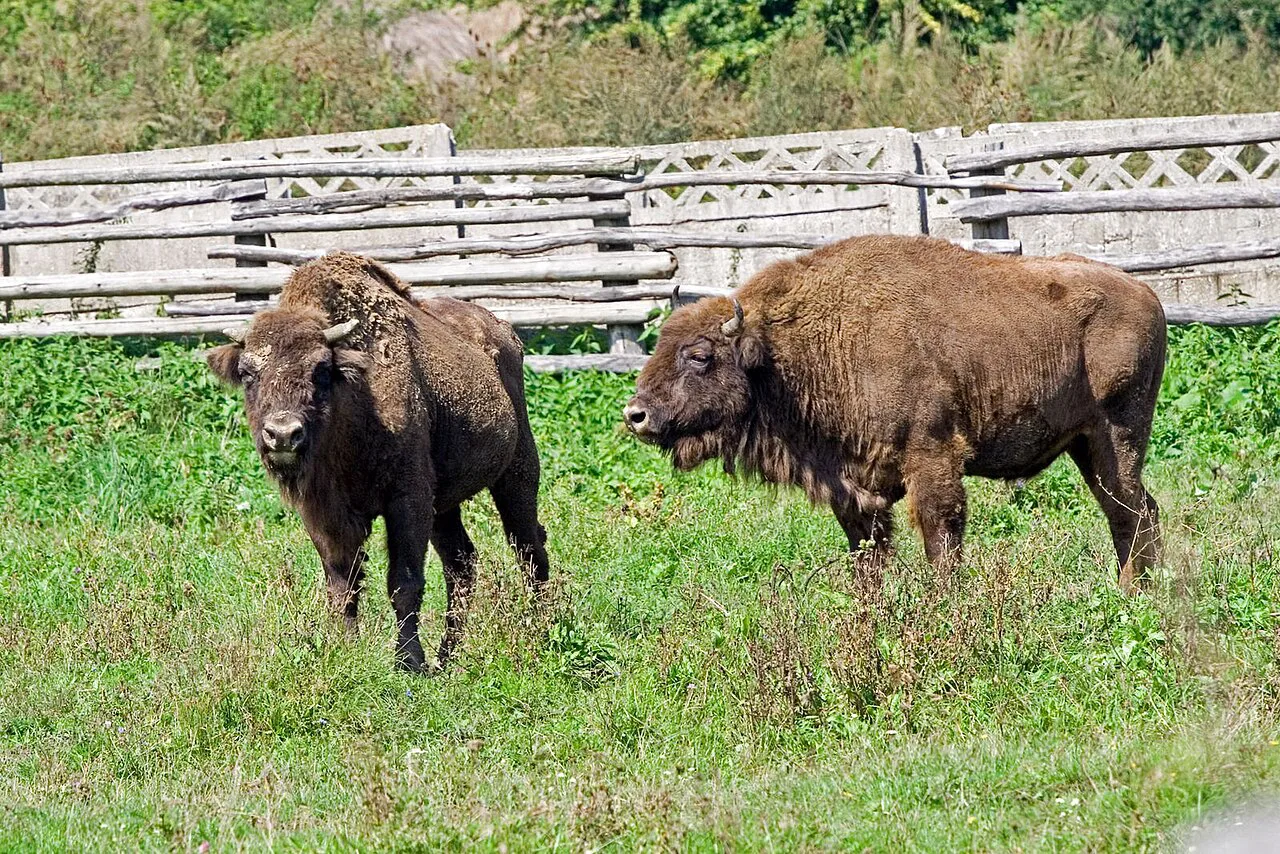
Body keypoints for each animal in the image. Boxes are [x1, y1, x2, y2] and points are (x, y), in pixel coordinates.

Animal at [208, 252, 549, 672]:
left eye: (321, 370)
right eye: (247, 373)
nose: (283, 434)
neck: (355, 403)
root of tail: (503, 331)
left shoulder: (407, 500)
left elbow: (404, 581)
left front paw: (409, 662)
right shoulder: (324, 513)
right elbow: (343, 584)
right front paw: (344, 650)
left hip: (516, 473)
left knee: (529, 548)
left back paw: (541, 630)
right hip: (445, 505)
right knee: (462, 563)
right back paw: (447, 658)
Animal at [625, 235, 1165, 591]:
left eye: (699, 356)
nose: (636, 415)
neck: (787, 353)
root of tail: (1148, 295)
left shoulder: (931, 456)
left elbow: (940, 534)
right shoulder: (855, 489)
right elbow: (868, 552)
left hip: (1117, 435)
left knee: (1130, 509)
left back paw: (1134, 590)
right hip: (1086, 446)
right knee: (1133, 508)